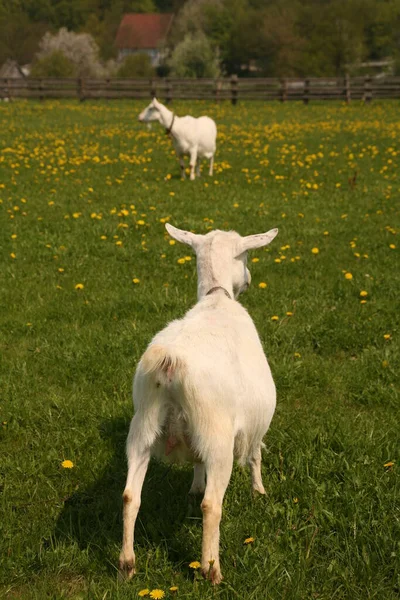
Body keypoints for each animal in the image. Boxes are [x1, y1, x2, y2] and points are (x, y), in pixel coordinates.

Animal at [119, 223, 278, 584]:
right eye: (245, 256)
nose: (248, 280)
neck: (217, 298)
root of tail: (171, 363)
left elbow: (195, 463)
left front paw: (193, 486)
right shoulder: (254, 423)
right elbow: (255, 456)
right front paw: (259, 493)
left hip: (142, 428)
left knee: (130, 495)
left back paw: (127, 563)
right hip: (217, 436)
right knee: (212, 505)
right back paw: (211, 569)